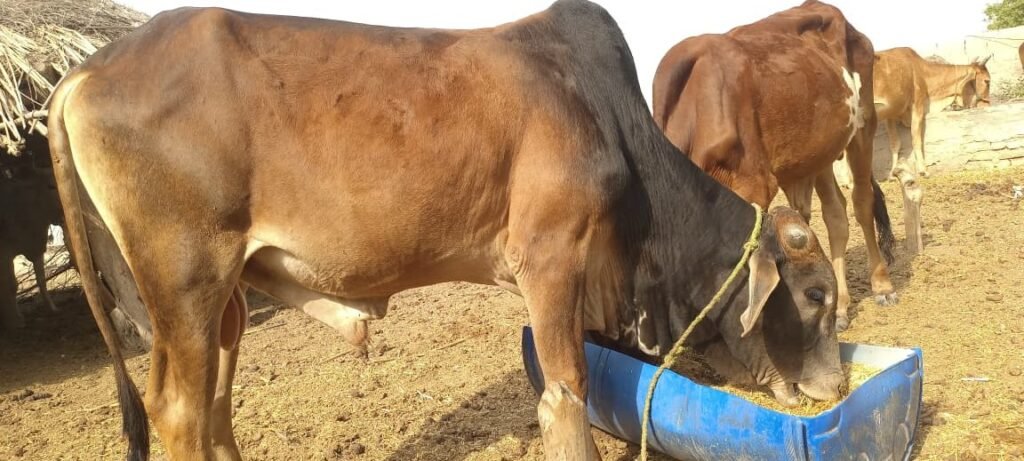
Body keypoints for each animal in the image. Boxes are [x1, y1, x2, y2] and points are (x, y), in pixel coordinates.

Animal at [47, 1, 844, 459]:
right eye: (814, 294)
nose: (834, 383)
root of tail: (81, 76)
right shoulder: (549, 262)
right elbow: (566, 395)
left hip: (221, 303)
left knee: (212, 407)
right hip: (185, 283)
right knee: (181, 413)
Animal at [652, 0, 897, 333]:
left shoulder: (754, 186)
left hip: (863, 126)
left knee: (861, 201)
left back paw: (882, 286)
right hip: (819, 152)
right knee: (834, 213)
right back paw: (841, 308)